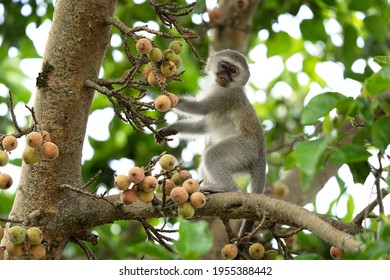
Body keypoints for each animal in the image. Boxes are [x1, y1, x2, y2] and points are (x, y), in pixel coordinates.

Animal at [155, 49, 266, 236]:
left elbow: (201, 109)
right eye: (224, 66)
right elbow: (203, 125)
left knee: (212, 155)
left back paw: (227, 189)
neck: (224, 87)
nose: (225, 76)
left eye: (233, 70)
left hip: (245, 147)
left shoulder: (225, 97)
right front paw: (172, 129)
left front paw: (171, 97)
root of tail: (261, 150)